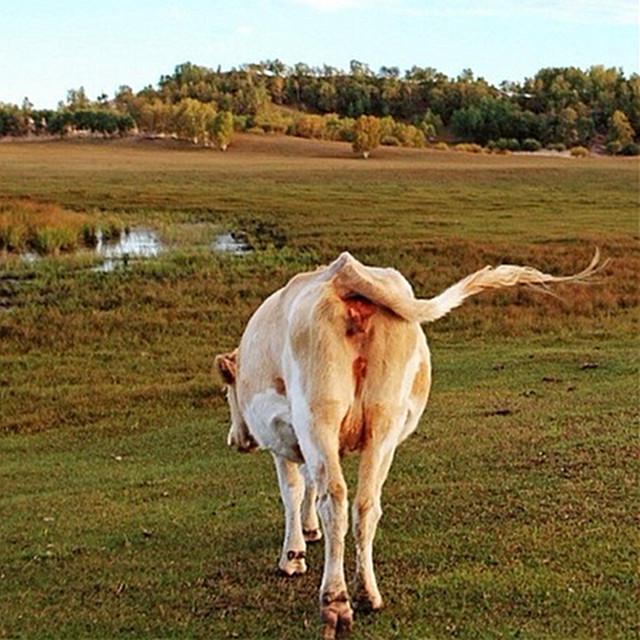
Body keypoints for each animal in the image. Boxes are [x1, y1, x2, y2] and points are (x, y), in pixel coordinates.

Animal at [215, 250, 600, 640]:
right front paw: (309, 533)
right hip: (384, 421)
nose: (235, 440)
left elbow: (293, 491)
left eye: (225, 389)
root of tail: (343, 271)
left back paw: (335, 602)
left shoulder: (281, 438)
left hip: (318, 415)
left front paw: (292, 556)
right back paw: (367, 594)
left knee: (334, 499)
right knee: (366, 503)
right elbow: (307, 485)